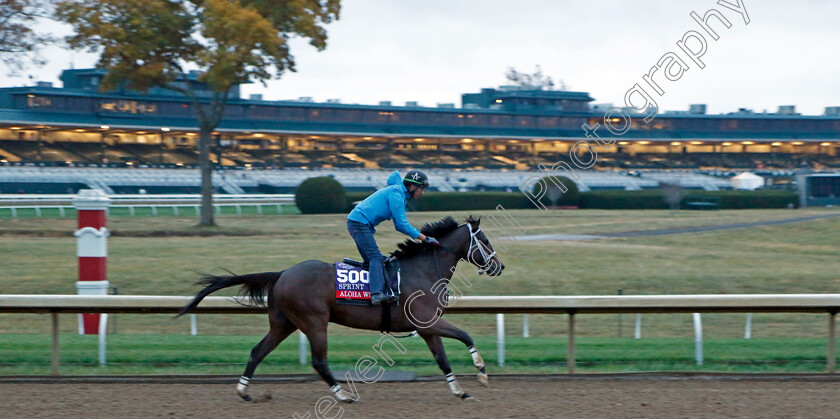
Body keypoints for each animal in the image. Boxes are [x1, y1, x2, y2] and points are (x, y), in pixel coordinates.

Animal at [177, 217, 506, 404]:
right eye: (485, 240)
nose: (499, 266)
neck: (423, 270)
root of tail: (282, 273)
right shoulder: (428, 323)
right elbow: (465, 335)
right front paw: (481, 372)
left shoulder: (427, 329)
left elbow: (443, 360)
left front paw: (460, 390)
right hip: (314, 322)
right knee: (319, 362)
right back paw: (343, 395)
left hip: (282, 323)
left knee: (257, 351)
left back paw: (244, 392)